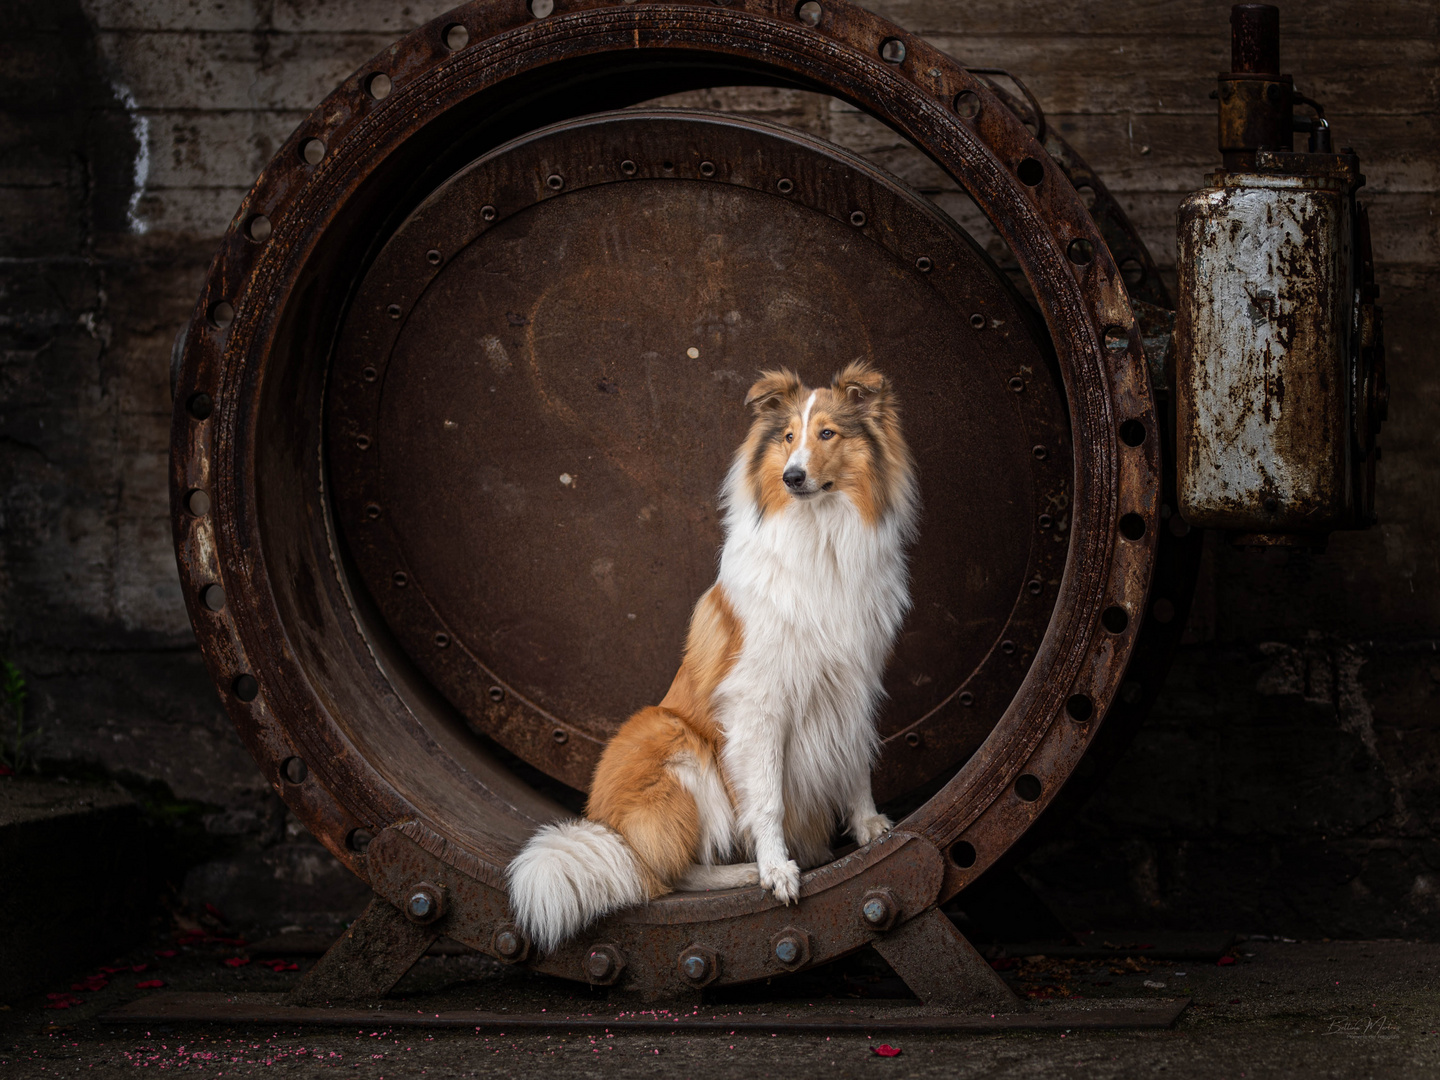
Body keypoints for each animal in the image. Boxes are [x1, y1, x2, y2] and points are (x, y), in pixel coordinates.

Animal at [512, 361, 915, 944]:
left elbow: (856, 758)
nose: (793, 477)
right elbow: (767, 796)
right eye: (787, 437)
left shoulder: (855, 681)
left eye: (827, 433)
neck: (819, 535)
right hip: (674, 741)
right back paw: (742, 872)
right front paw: (777, 869)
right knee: (664, 874)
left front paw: (868, 826)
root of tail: (613, 831)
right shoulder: (758, 701)